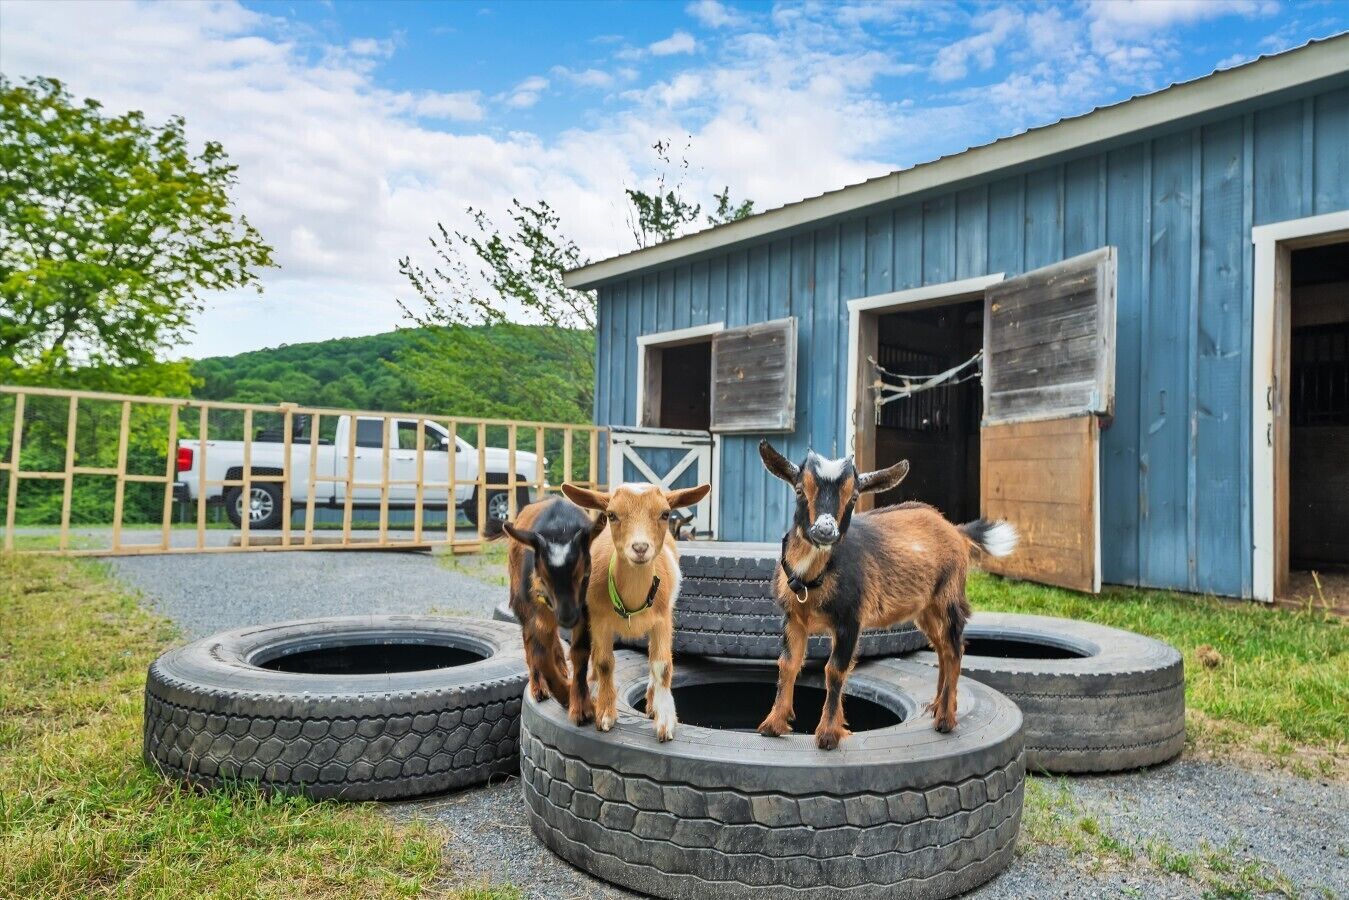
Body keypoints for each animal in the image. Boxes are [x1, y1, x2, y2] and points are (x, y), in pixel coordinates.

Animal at [501, 497, 602, 707]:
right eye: (543, 578)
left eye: (585, 575)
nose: (567, 618)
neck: (559, 528)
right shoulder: (534, 609)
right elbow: (539, 653)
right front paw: (564, 695)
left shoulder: (584, 608)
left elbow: (580, 650)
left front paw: (581, 705)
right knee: (531, 642)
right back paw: (539, 685)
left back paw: (561, 663)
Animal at [561, 481, 711, 742]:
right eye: (612, 515)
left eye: (665, 513)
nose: (640, 547)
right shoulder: (600, 620)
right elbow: (604, 662)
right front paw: (605, 713)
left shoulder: (663, 620)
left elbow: (661, 664)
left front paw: (665, 719)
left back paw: (651, 704)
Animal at [757, 441, 1018, 750]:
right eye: (799, 490)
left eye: (854, 496)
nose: (825, 530)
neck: (811, 578)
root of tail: (954, 529)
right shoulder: (793, 617)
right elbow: (787, 664)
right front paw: (773, 725)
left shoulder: (850, 619)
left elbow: (835, 670)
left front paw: (829, 734)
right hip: (925, 610)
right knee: (942, 647)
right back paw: (938, 706)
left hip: (949, 596)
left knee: (955, 648)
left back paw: (945, 720)